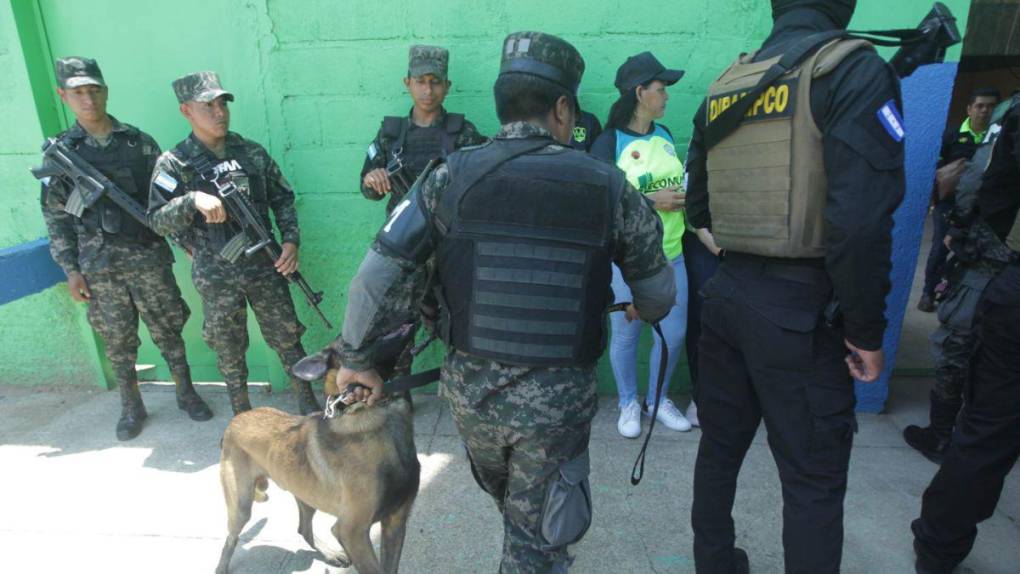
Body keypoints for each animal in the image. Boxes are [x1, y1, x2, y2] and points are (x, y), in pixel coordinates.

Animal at [215, 328, 422, 574]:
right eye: (349, 345)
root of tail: (235, 420)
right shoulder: (352, 532)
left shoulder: (395, 522)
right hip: (241, 505)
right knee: (230, 538)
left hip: (306, 496)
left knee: (303, 528)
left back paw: (330, 554)